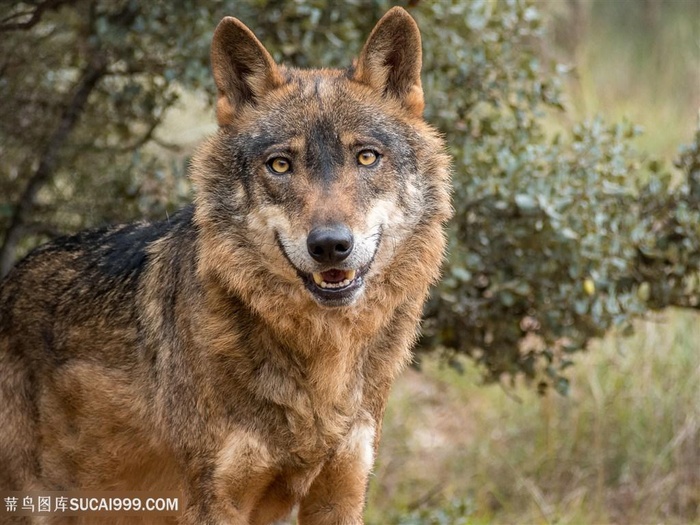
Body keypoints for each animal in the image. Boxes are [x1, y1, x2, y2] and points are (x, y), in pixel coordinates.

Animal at [0, 5, 448, 524]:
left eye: (367, 157)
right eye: (280, 165)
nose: (331, 245)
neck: (321, 368)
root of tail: (9, 281)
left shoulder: (342, 493)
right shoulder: (215, 499)